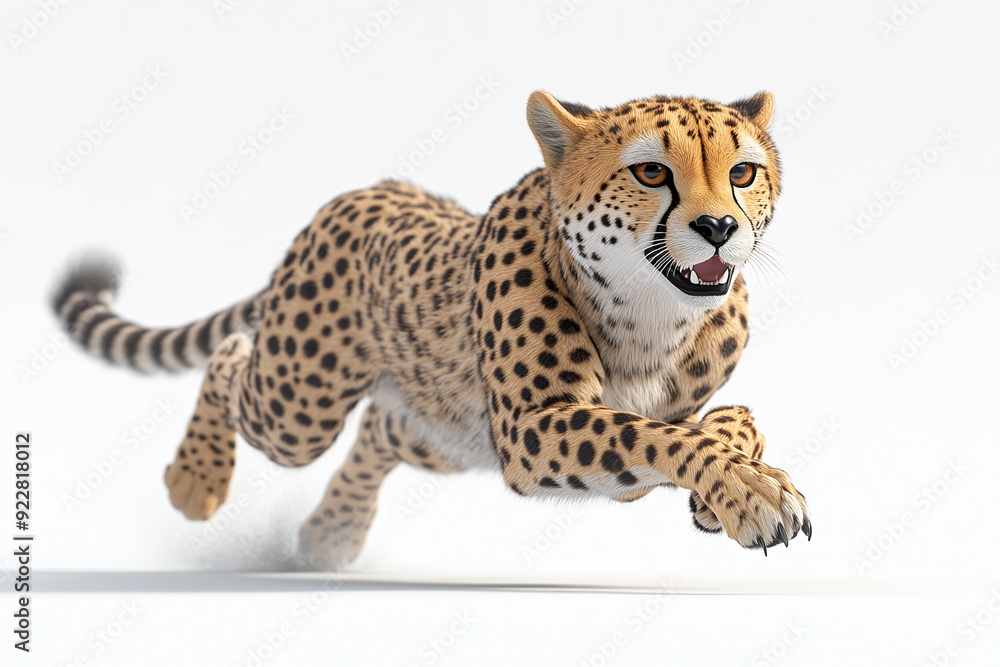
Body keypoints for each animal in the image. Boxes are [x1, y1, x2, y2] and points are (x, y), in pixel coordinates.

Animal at [52, 90, 811, 568]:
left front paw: (735, 482)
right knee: (236, 357)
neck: (651, 314)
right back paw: (196, 479)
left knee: (380, 426)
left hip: (444, 429)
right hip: (301, 407)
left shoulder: (586, 448)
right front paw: (748, 491)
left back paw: (332, 532)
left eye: (744, 172)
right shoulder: (533, 429)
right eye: (651, 171)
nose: (718, 227)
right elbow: (657, 434)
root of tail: (379, 188)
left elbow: (723, 419)